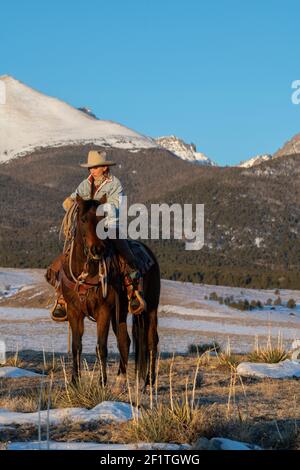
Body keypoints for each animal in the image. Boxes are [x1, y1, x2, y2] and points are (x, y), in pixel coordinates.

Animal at [52, 195, 159, 386]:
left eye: (103, 219)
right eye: (83, 219)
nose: (97, 249)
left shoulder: (103, 311)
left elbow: (101, 346)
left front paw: (102, 382)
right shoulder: (74, 311)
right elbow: (76, 346)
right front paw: (74, 381)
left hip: (151, 308)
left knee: (151, 341)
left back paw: (148, 382)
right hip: (121, 312)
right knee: (125, 341)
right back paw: (120, 380)